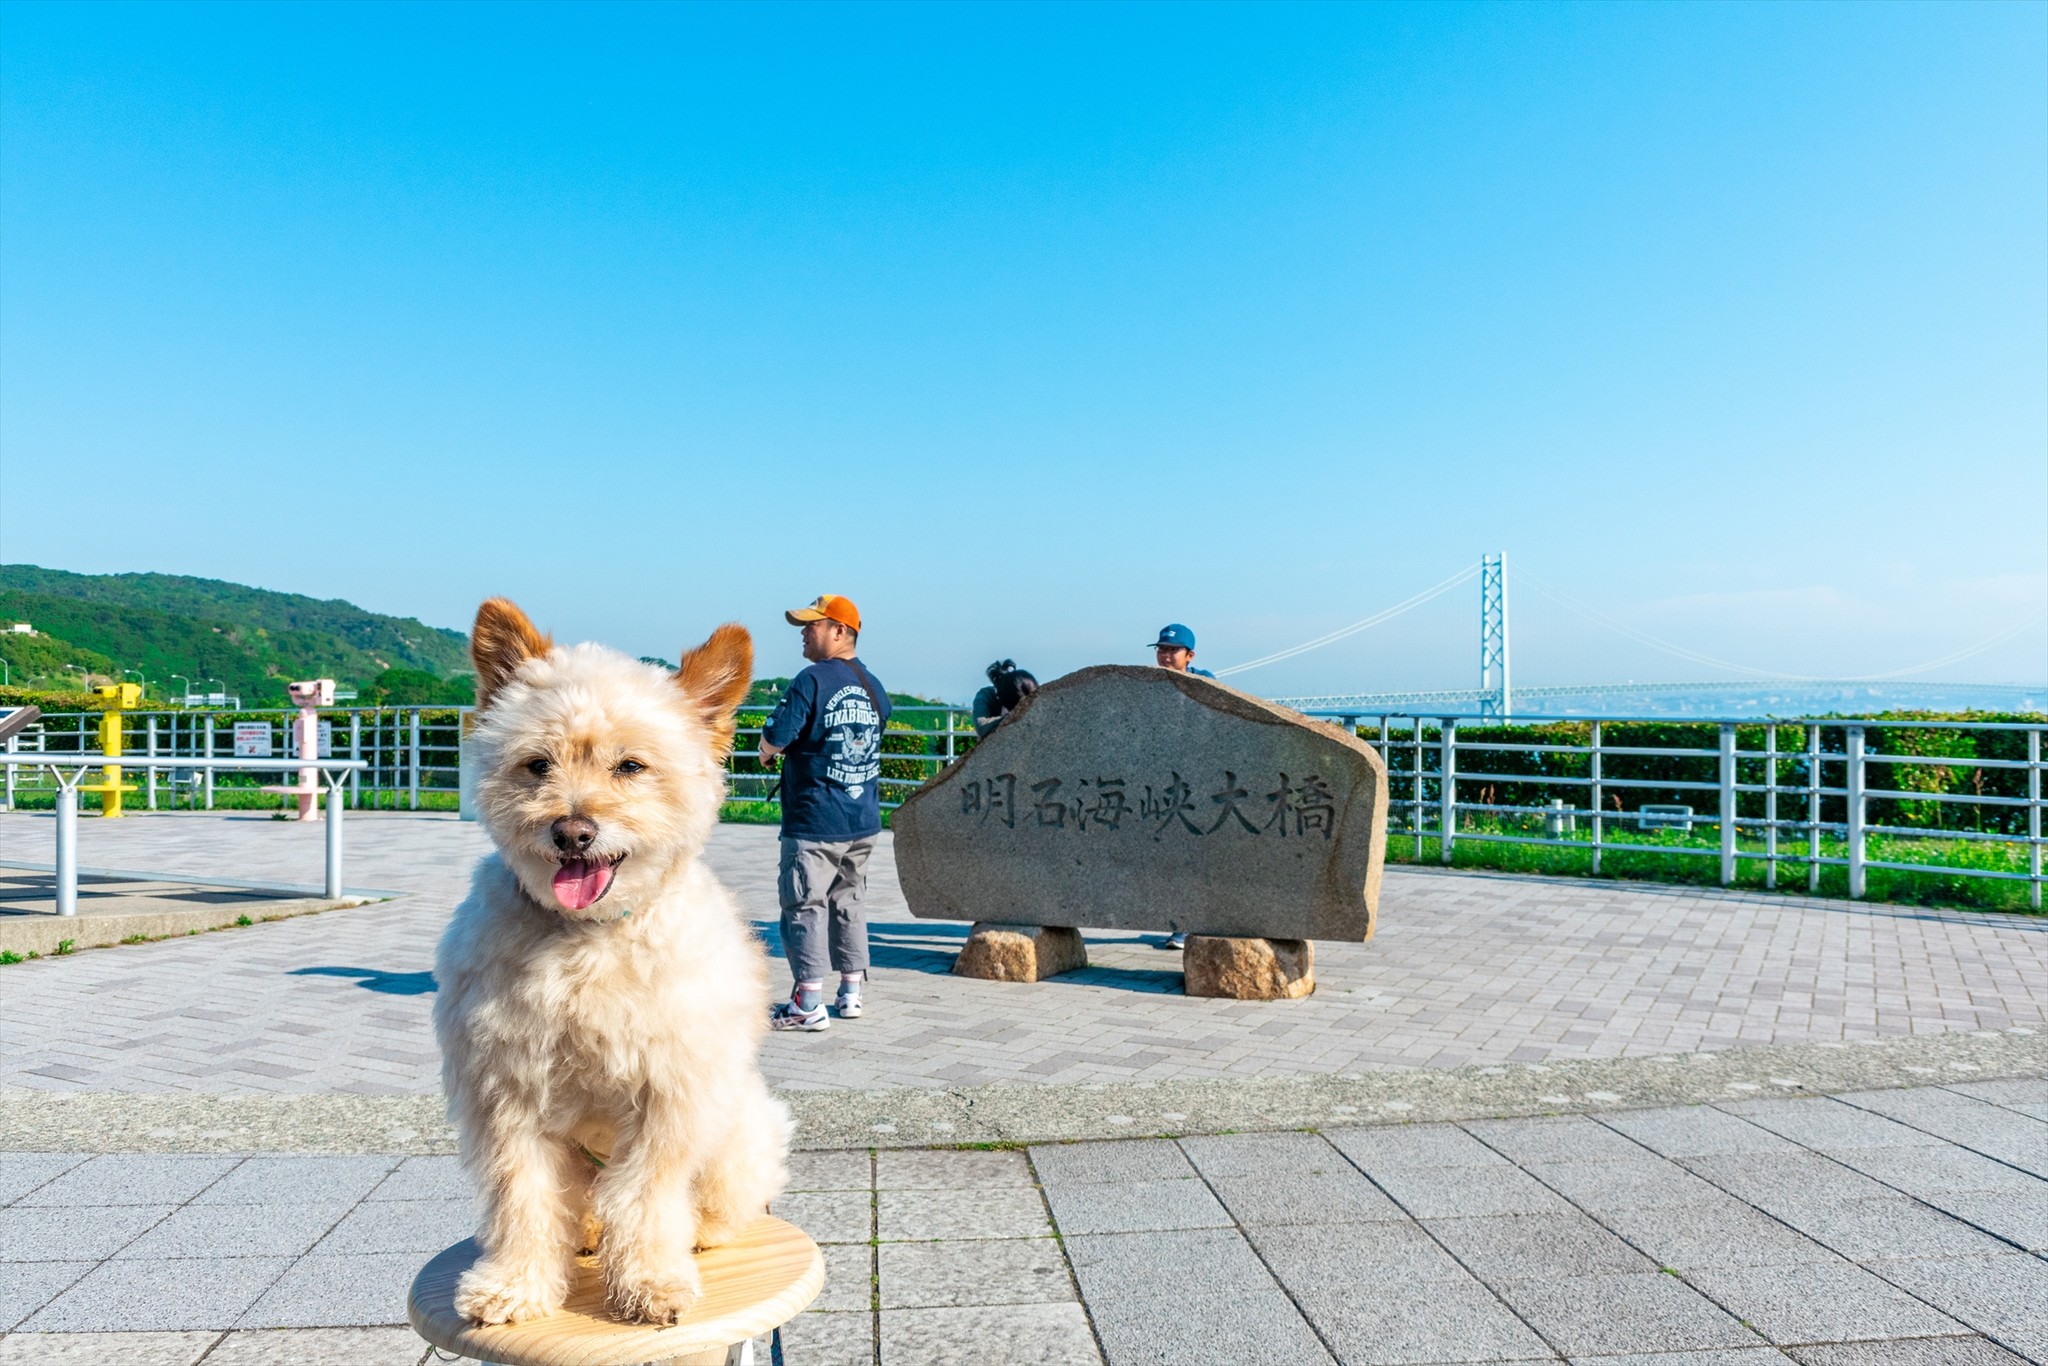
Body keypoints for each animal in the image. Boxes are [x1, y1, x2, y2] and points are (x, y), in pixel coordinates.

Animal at [436, 593, 786, 1327]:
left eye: (631, 767)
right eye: (538, 764)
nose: (572, 831)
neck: (585, 939)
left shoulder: (669, 1098)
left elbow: (647, 1197)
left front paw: (651, 1281)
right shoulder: (507, 1097)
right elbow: (523, 1199)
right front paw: (514, 1284)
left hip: (741, 1127)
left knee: (714, 1205)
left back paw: (696, 1233)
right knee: (579, 1206)